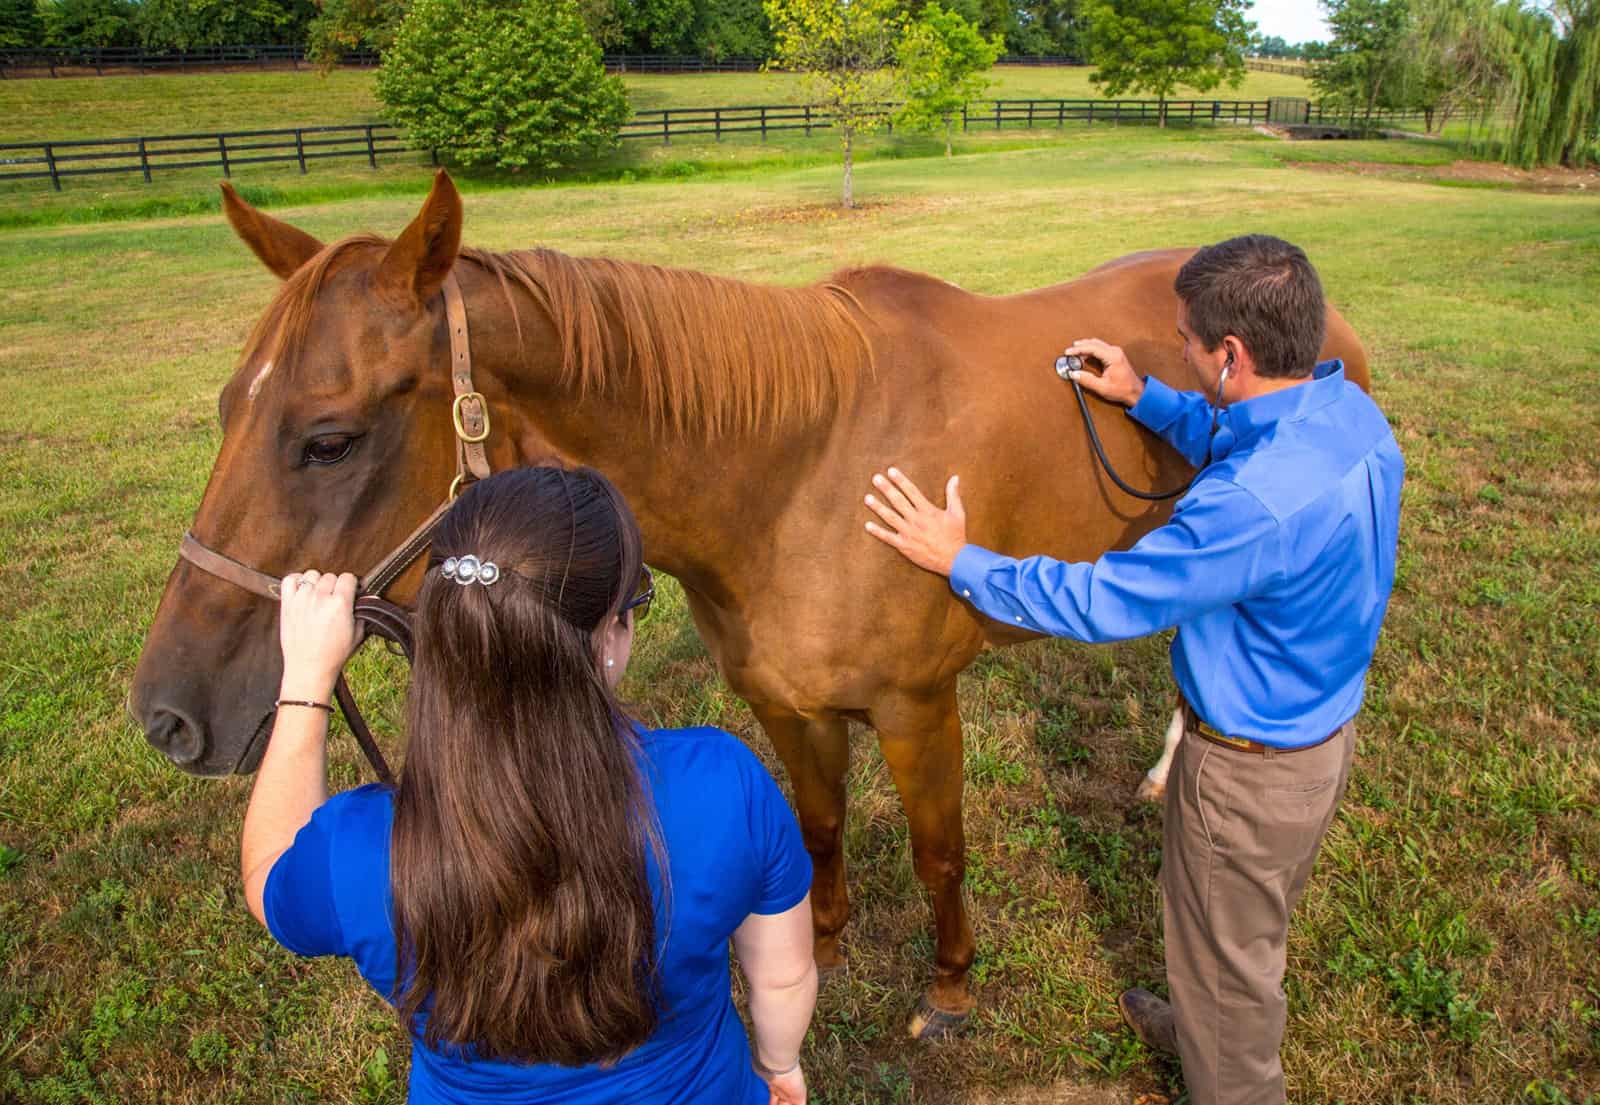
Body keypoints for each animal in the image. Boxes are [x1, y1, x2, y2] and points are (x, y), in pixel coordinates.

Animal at [128, 171, 1376, 1036]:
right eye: (227, 406)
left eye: (329, 438)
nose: (167, 714)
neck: (804, 469)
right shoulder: (786, 704)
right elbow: (817, 830)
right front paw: (816, 943)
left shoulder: (919, 709)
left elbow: (938, 854)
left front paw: (949, 990)